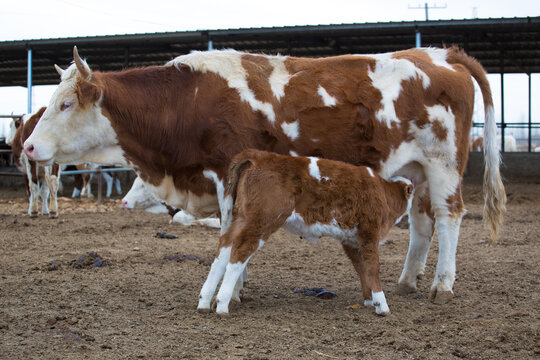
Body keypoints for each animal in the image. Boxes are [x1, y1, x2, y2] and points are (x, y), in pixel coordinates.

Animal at [198, 149, 414, 316]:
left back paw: (204, 302)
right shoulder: (369, 232)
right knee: (241, 250)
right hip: (262, 221)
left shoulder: (351, 240)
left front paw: (369, 300)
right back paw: (222, 305)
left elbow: (361, 268)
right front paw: (382, 305)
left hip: (243, 218)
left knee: (225, 247)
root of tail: (261, 156)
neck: (383, 192)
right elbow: (372, 267)